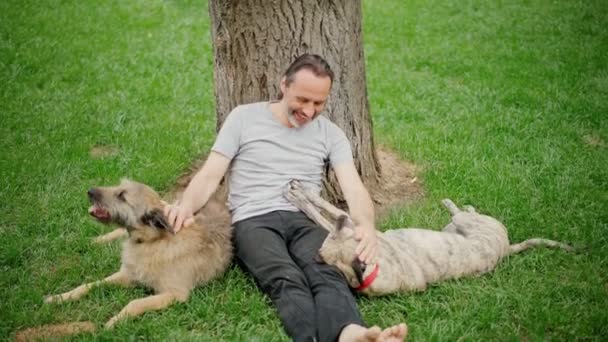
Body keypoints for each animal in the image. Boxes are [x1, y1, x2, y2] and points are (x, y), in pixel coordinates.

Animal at [44, 180, 233, 328]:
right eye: (118, 186)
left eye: (122, 196)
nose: (89, 190)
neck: (151, 242)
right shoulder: (127, 274)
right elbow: (88, 285)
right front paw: (61, 297)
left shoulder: (175, 294)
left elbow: (135, 303)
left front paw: (115, 321)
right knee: (118, 231)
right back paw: (95, 240)